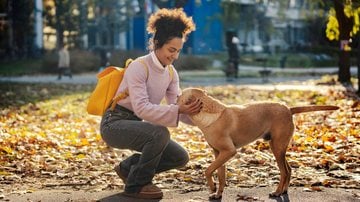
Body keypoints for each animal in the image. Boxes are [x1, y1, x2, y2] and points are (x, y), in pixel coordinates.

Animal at [178, 87, 340, 199]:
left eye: (179, 96)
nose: (174, 97)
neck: (209, 112)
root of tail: (288, 109)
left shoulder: (229, 151)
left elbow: (207, 170)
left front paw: (212, 187)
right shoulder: (219, 153)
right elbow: (220, 175)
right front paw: (217, 194)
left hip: (277, 147)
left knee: (284, 171)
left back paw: (277, 192)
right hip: (278, 147)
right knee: (288, 170)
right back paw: (284, 190)